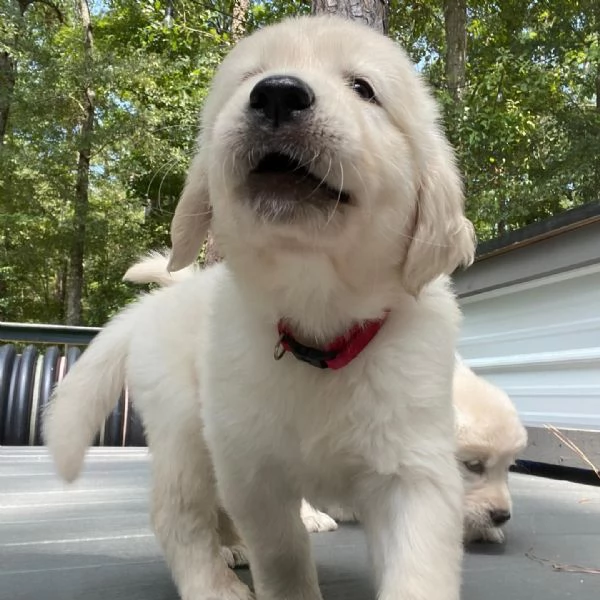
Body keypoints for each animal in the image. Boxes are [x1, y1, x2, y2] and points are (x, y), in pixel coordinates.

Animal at [44, 12, 476, 600]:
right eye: (251, 76)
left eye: (363, 88)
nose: (277, 94)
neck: (319, 325)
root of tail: (167, 298)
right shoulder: (254, 470)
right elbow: (283, 553)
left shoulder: (413, 470)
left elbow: (418, 567)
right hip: (185, 427)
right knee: (178, 513)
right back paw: (214, 583)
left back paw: (233, 547)